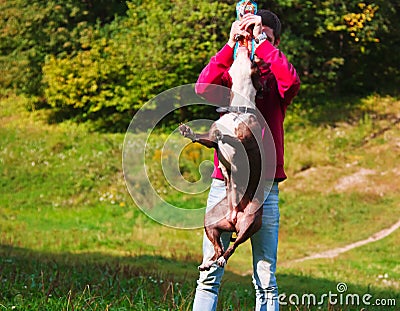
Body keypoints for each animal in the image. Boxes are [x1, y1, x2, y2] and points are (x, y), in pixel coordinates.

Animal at [180, 45, 264, 272]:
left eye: (254, 62)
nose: (244, 44)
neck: (238, 109)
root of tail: (234, 217)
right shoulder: (211, 141)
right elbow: (206, 138)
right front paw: (188, 132)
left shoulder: (245, 142)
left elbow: (230, 138)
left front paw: (224, 135)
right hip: (211, 221)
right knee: (218, 247)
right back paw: (208, 263)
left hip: (250, 221)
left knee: (232, 247)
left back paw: (221, 259)